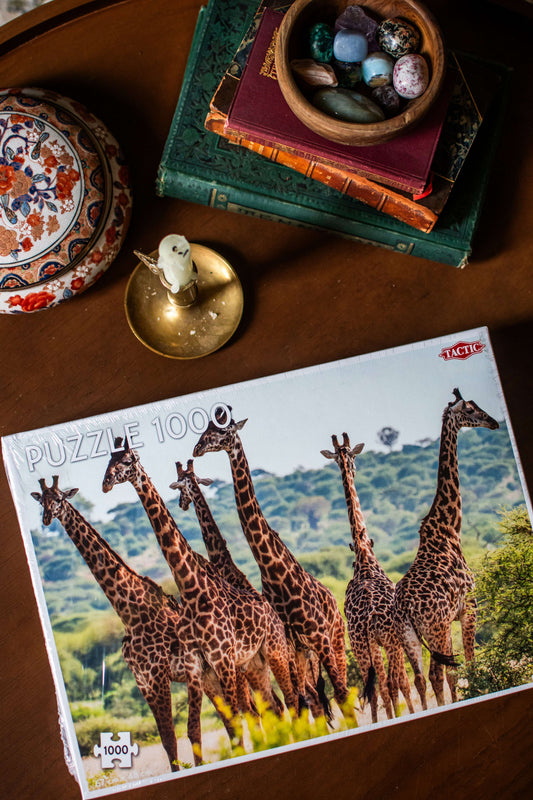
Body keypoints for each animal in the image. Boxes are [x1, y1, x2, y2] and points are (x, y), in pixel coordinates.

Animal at [30, 476, 234, 771]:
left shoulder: (158, 675)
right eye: (42, 502)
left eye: (58, 498)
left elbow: (175, 735)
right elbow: (166, 740)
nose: (47, 519)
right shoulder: (142, 682)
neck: (130, 614)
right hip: (208, 677)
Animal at [102, 439, 299, 725]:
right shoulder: (203, 664)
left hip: (274, 652)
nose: (105, 483)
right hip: (254, 662)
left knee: (293, 699)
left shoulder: (222, 660)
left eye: (127, 461)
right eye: (108, 461)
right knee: (277, 705)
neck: (194, 589)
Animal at [193, 414, 352, 720]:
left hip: (334, 638)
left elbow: (335, 694)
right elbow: (302, 701)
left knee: (344, 689)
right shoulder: (290, 645)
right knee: (312, 698)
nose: (197, 448)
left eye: (222, 432)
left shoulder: (317, 635)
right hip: (302, 653)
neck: (272, 570)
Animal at [321, 434, 414, 723]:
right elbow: (402, 683)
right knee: (395, 683)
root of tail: (369, 621)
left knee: (375, 689)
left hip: (361, 646)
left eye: (348, 456)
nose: (352, 469)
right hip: (385, 642)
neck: (363, 553)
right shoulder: (395, 637)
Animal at [393, 388, 499, 708]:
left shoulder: (452, 617)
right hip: (435, 630)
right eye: (471, 410)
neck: (451, 528)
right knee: (436, 674)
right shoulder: (469, 607)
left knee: (420, 678)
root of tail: (405, 608)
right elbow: (471, 661)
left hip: (410, 637)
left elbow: (455, 671)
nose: (494, 422)